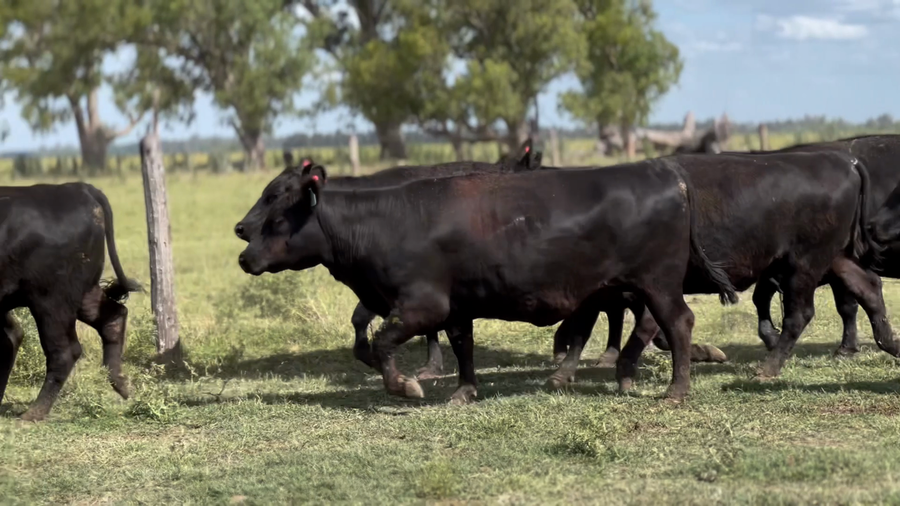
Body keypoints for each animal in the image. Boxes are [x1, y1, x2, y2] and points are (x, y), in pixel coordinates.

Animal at [0, 183, 142, 421]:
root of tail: (74, 188)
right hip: (82, 293)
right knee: (113, 316)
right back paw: (122, 384)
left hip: (50, 301)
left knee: (63, 351)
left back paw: (33, 413)